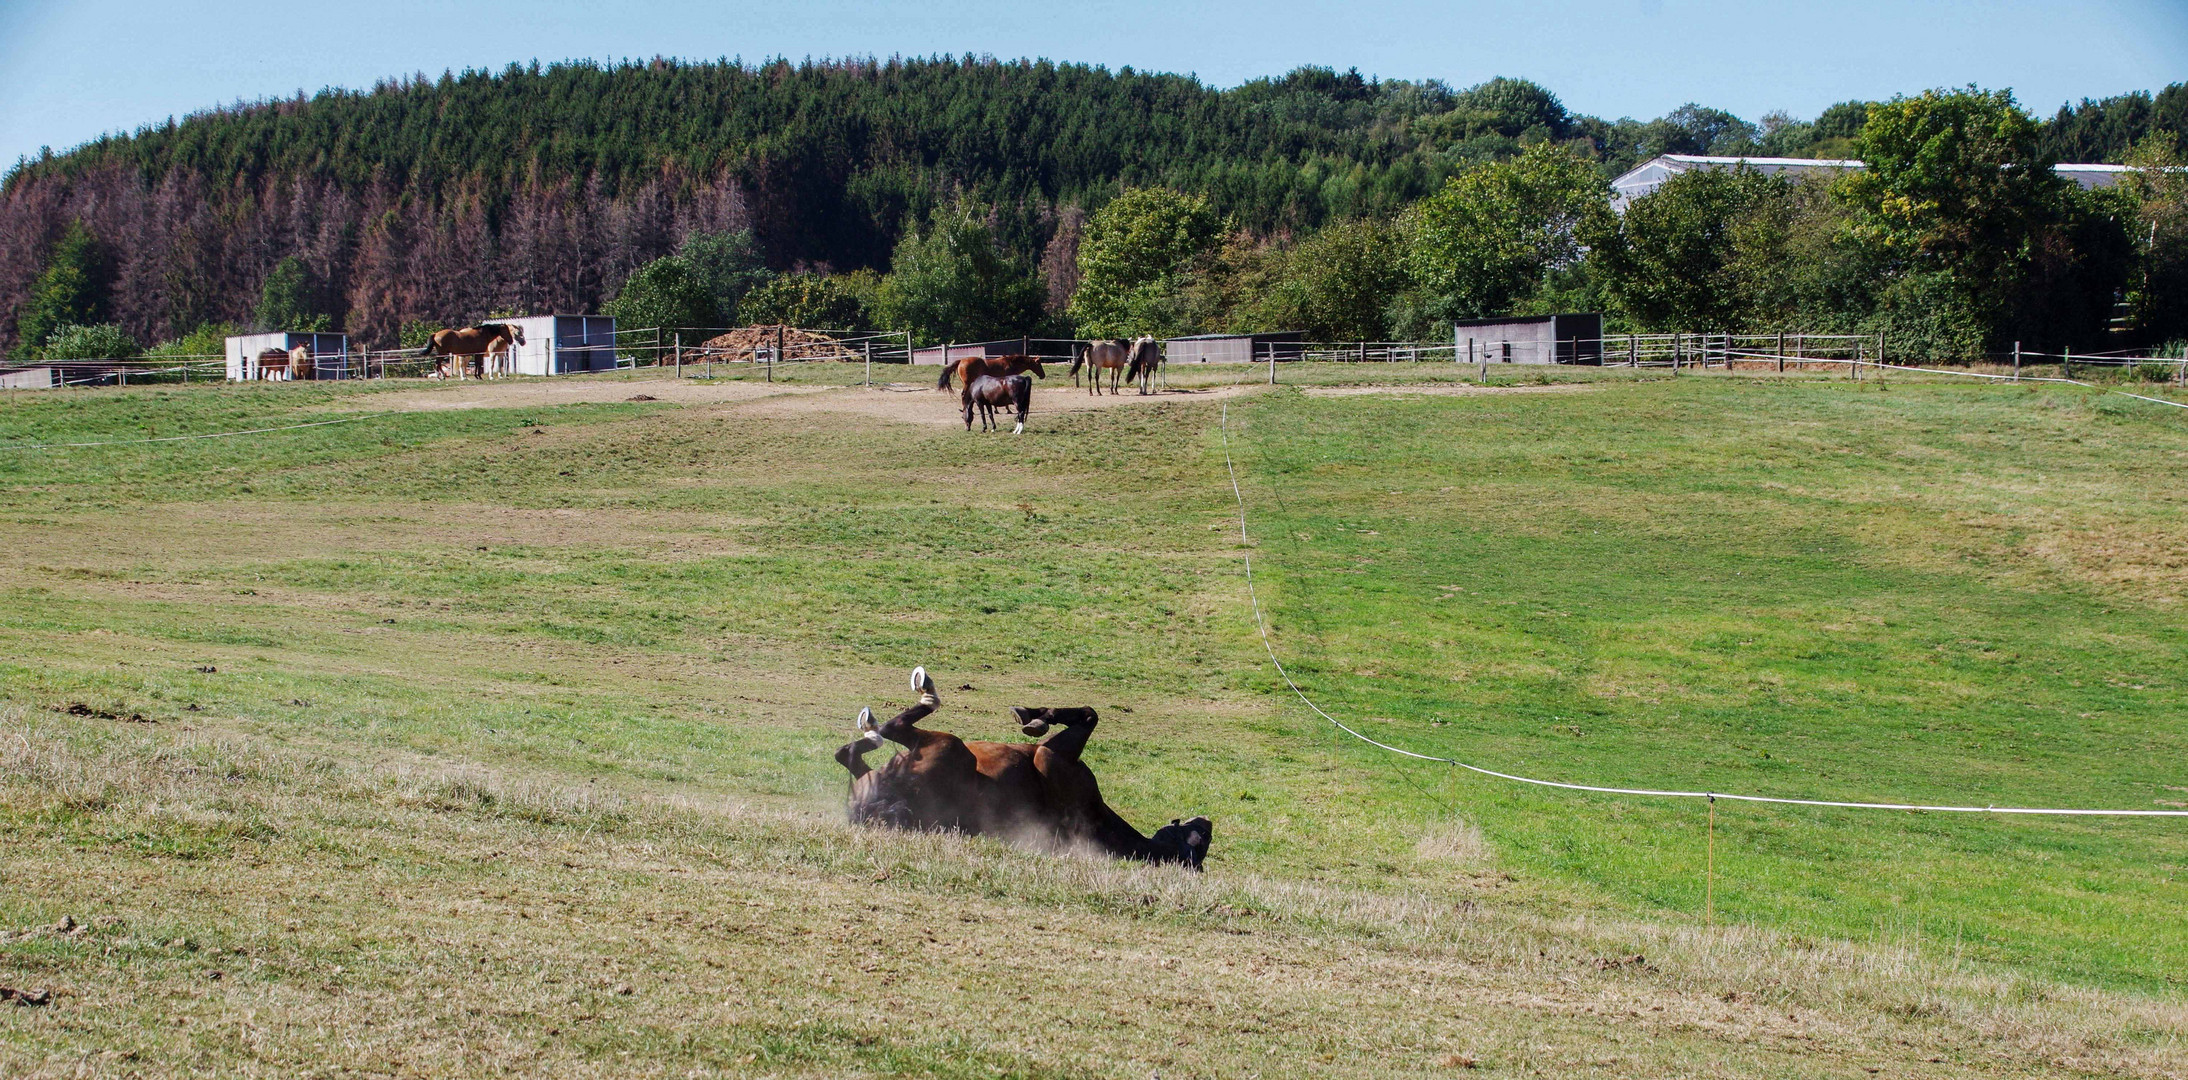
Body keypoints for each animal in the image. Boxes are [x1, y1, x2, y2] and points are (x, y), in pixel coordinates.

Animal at [831, 664, 1216, 870]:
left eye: (1198, 840)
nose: (1207, 821)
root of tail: (872, 810)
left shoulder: (1050, 757)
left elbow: (1088, 714)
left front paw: (1036, 718)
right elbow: (1087, 713)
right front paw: (1033, 716)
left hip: (948, 746)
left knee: (885, 733)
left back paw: (914, 697)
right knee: (847, 753)